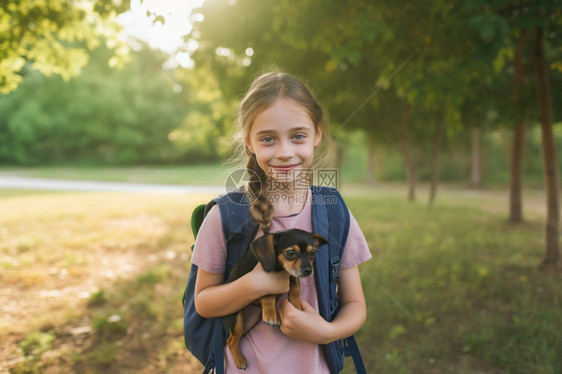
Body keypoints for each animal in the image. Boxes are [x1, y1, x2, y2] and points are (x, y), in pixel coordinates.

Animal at [223, 228, 326, 368]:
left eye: (313, 253)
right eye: (290, 253)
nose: (308, 271)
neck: (279, 268)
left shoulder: (292, 274)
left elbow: (296, 284)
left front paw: (296, 304)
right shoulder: (258, 281)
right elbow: (268, 295)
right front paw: (271, 314)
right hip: (236, 320)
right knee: (231, 341)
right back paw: (240, 361)